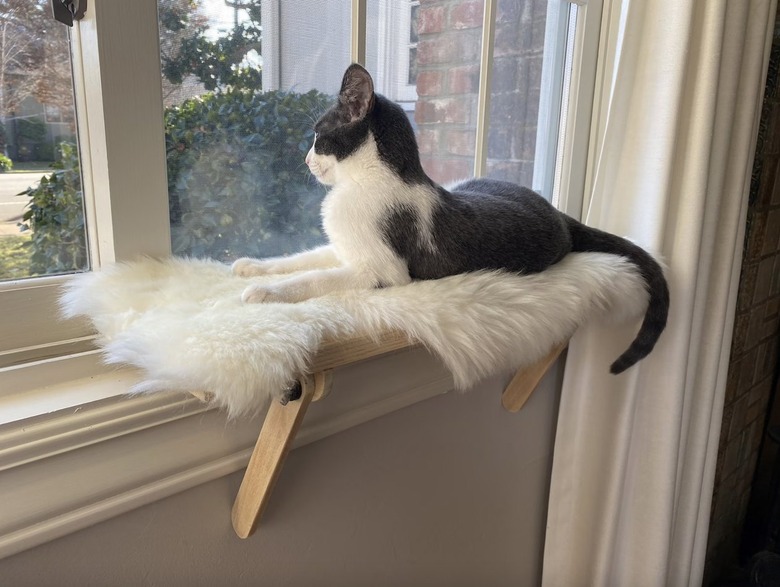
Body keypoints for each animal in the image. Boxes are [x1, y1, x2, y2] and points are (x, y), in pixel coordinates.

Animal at [233, 64, 672, 374]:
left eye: (319, 136)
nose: (306, 160)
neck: (366, 182)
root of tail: (560, 214)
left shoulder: (384, 271)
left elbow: (317, 277)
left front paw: (266, 294)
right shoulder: (343, 247)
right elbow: (302, 258)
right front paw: (254, 267)